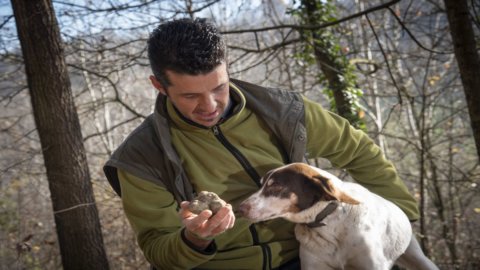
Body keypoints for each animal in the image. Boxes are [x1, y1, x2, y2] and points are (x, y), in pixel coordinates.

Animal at [238, 162, 440, 270]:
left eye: (276, 185)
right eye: (262, 184)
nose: (240, 208)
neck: (329, 225)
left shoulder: (372, 265)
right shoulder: (314, 265)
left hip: (419, 259)